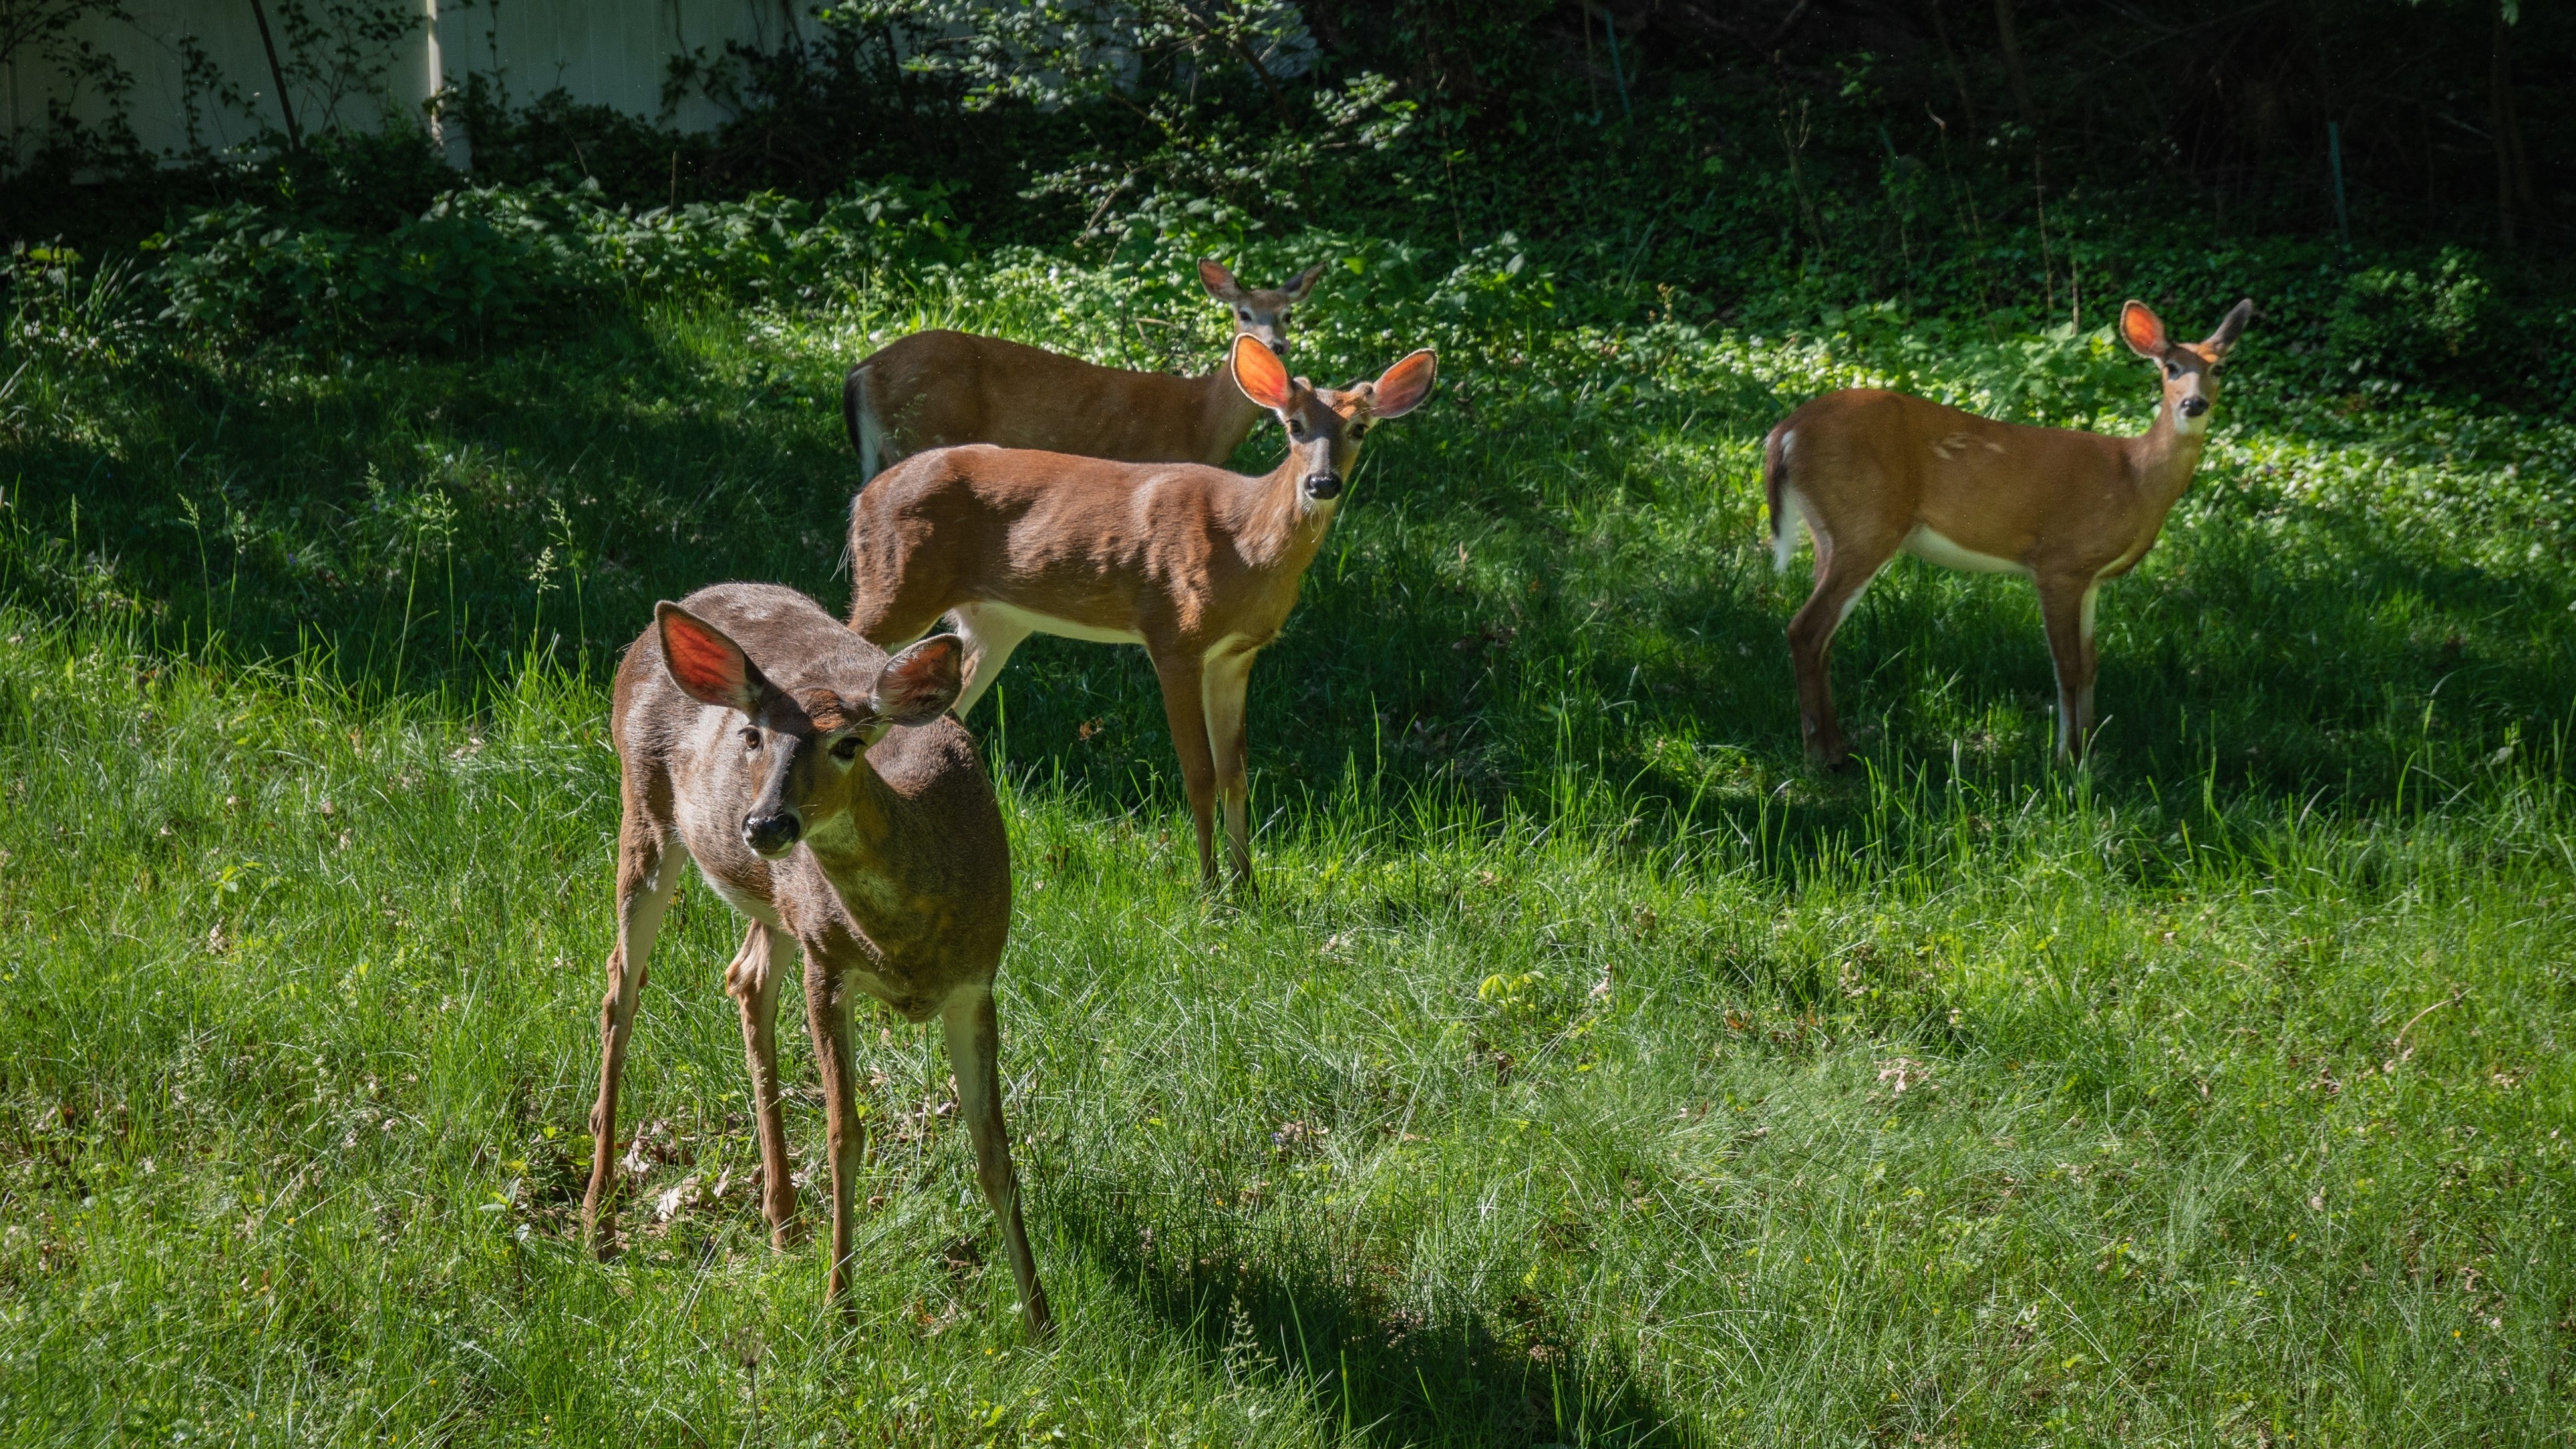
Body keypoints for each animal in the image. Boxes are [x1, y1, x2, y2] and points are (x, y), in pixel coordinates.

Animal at [580, 583, 1051, 1337]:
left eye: (848, 744)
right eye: (752, 737)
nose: (765, 823)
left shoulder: (977, 984)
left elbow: (994, 1149)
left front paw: (1041, 1321)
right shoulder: (827, 965)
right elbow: (843, 1136)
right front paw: (842, 1313)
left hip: (776, 902)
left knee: (744, 978)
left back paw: (782, 1222)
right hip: (646, 809)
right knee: (620, 984)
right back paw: (598, 1221)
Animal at [842, 258, 1327, 481]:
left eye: (1288, 315)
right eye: (1244, 313)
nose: (1276, 345)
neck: (1200, 419)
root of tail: (863, 369)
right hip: (924, 431)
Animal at [846, 333, 1437, 893]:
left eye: (1359, 428)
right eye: (1294, 426)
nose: (1322, 483)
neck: (1247, 546)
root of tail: (864, 497)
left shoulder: (1237, 656)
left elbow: (1236, 772)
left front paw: (1249, 888)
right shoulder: (1174, 636)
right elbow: (1199, 772)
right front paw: (1210, 891)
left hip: (995, 621)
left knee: (949, 712)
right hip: (895, 586)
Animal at [1764, 297, 2253, 766]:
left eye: (2219, 367)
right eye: (2171, 367)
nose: (2194, 404)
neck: (2135, 479)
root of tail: (1784, 433)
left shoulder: (2092, 578)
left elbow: (2092, 663)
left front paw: (2090, 752)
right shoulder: (2059, 562)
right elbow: (2068, 665)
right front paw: (2068, 761)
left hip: (1830, 533)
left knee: (1824, 636)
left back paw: (1837, 748)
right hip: (1867, 524)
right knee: (1806, 629)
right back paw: (1821, 757)